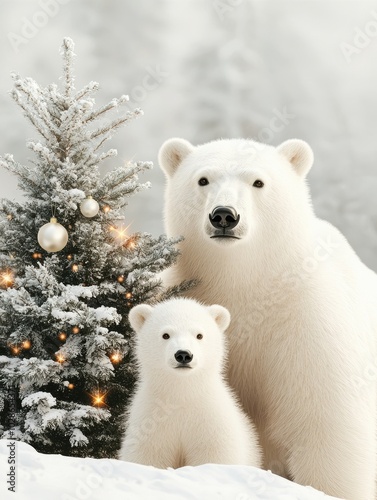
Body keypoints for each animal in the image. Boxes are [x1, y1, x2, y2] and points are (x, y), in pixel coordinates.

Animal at [119, 296, 260, 468]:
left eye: (199, 335)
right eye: (166, 335)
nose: (183, 355)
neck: (182, 394)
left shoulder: (211, 423)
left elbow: (214, 455)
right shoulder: (150, 424)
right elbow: (148, 456)